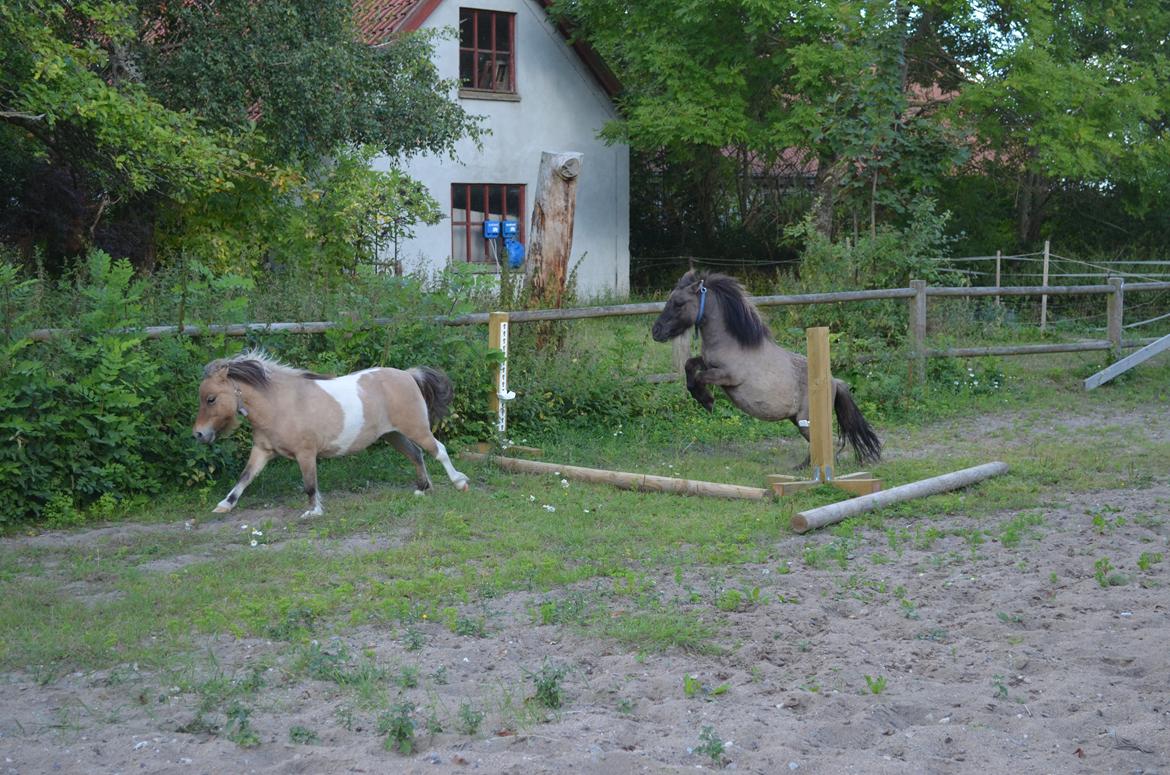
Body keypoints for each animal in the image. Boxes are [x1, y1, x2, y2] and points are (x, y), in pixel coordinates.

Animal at [190, 351, 465, 515]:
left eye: (211, 398)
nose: (199, 434)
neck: (280, 404)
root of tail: (408, 375)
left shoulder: (305, 453)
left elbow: (310, 484)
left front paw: (312, 511)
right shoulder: (262, 451)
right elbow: (245, 477)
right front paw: (224, 505)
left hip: (416, 428)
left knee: (439, 451)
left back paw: (459, 483)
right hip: (393, 435)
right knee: (416, 454)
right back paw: (422, 489)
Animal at [650, 271, 879, 463]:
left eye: (679, 303)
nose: (656, 331)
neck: (732, 343)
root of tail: (835, 382)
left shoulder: (728, 376)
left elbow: (700, 377)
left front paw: (707, 400)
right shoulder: (707, 362)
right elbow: (690, 367)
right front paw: (703, 399)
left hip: (806, 419)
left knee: (825, 443)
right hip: (798, 420)